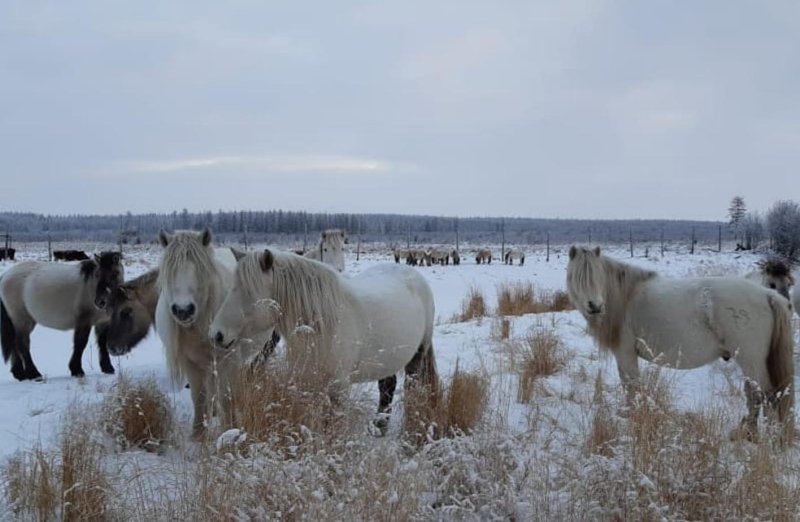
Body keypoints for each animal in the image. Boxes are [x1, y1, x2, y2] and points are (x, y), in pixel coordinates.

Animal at [153, 228, 260, 434]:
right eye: (170, 269)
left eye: (200, 269)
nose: (183, 310)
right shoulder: (191, 363)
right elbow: (199, 398)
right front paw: (198, 433)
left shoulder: (228, 359)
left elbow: (226, 397)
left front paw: (230, 430)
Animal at [208, 246, 438, 432]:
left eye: (247, 292)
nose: (216, 334)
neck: (323, 324)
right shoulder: (310, 383)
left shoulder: (338, 388)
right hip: (387, 358)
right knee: (387, 387)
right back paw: (379, 428)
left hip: (417, 355)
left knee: (409, 387)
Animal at [564, 245, 796, 438]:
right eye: (576, 277)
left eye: (597, 276)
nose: (595, 306)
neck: (626, 297)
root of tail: (768, 294)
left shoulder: (625, 354)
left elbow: (631, 387)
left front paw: (632, 417)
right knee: (755, 394)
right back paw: (747, 433)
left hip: (751, 360)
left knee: (767, 395)